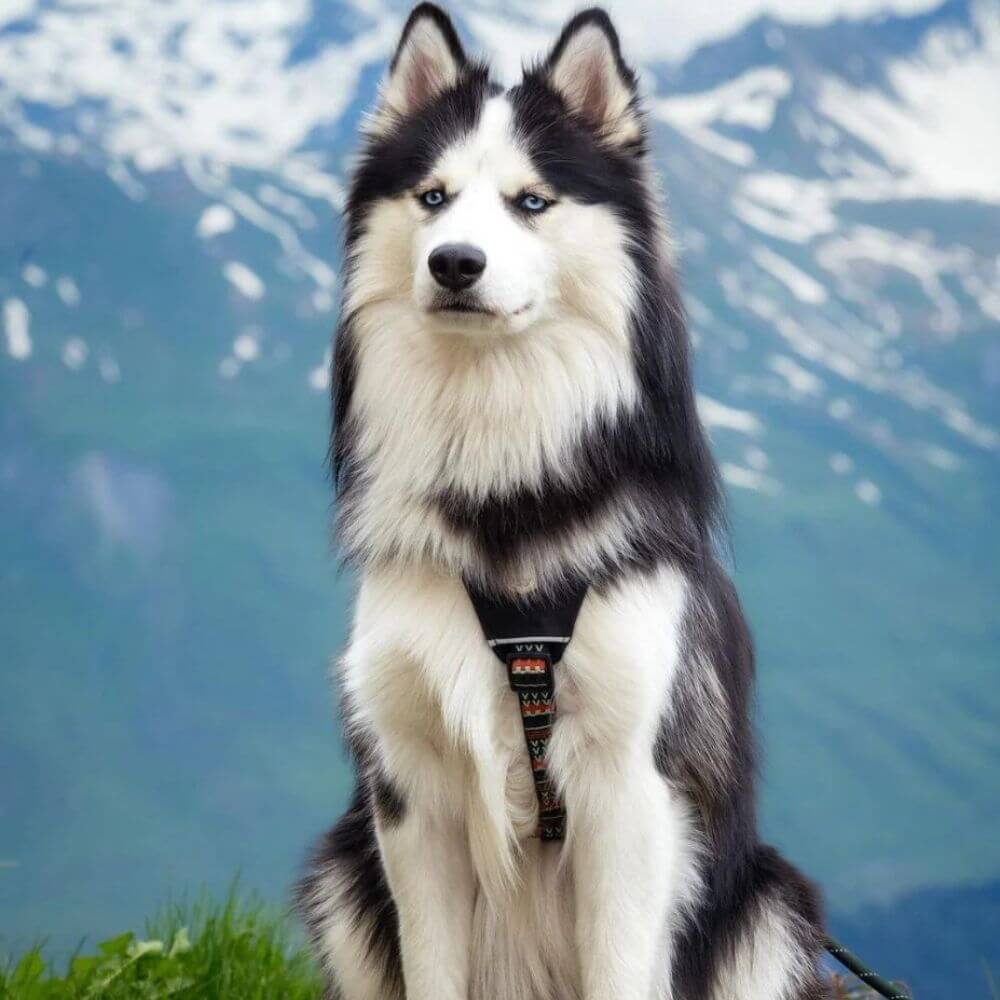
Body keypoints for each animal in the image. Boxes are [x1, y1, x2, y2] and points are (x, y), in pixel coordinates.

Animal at [296, 5, 831, 998]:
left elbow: (621, 960)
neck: (505, 488)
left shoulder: (631, 787)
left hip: (770, 902)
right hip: (339, 871)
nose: (454, 263)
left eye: (532, 202)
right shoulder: (410, 792)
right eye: (432, 197)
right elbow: (430, 966)